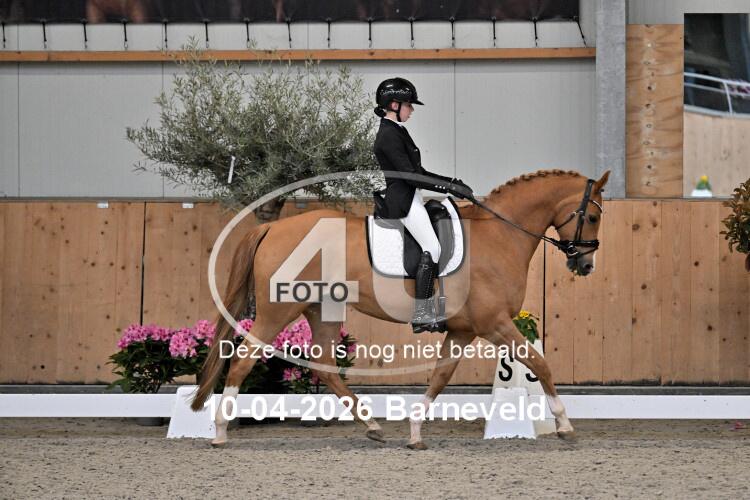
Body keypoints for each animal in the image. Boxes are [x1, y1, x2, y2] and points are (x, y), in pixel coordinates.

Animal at [191, 169, 610, 449]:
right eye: (592, 216)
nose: (586, 265)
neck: (499, 234)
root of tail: (271, 229)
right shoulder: (495, 325)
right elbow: (539, 364)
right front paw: (565, 425)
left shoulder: (463, 331)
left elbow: (440, 377)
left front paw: (414, 432)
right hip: (278, 311)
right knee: (243, 359)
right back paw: (220, 432)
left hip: (321, 309)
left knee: (324, 365)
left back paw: (372, 427)